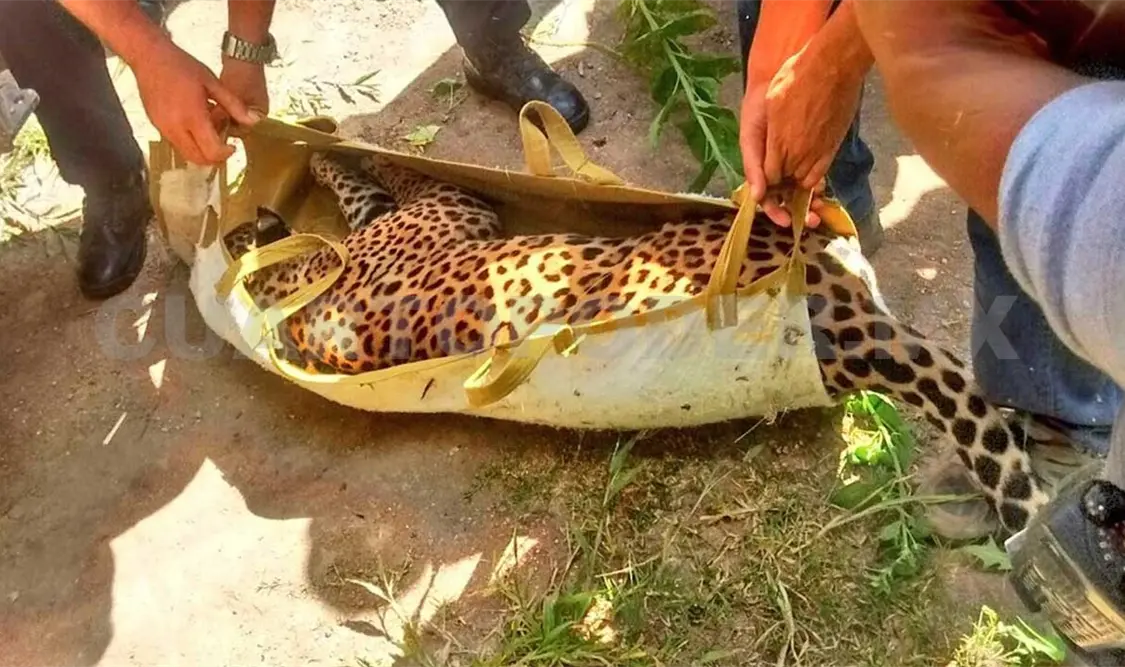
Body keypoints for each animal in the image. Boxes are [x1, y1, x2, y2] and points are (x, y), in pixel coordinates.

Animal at [221, 150, 1050, 536]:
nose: (246, 224)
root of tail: (845, 329)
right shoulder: (449, 209)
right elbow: (395, 181)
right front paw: (334, 156)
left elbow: (367, 190)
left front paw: (320, 153)